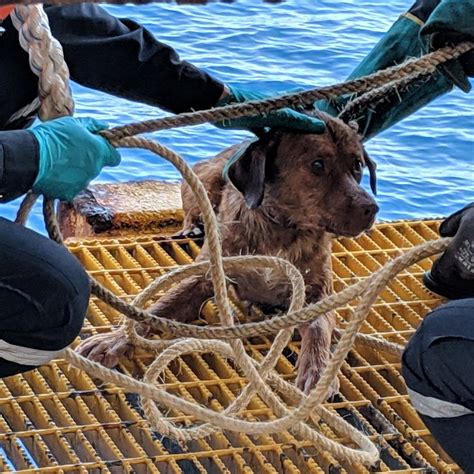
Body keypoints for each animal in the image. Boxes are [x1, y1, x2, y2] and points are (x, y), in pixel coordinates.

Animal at [78, 112, 382, 396]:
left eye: (357, 165)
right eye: (317, 165)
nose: (371, 208)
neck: (281, 228)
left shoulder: (318, 294)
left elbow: (318, 328)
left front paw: (319, 371)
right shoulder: (204, 276)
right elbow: (156, 309)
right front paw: (114, 340)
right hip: (206, 179)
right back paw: (192, 227)